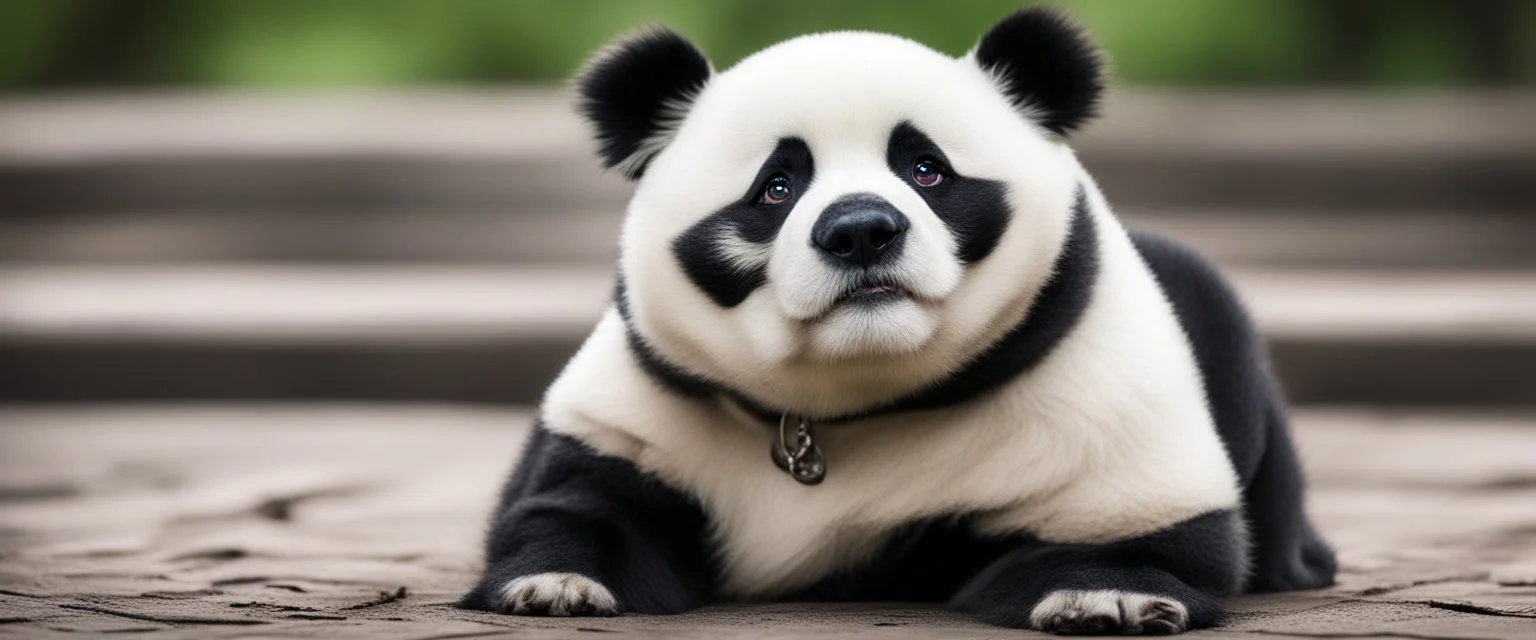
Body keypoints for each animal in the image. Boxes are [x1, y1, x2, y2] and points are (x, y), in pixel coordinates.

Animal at [460, 6, 1336, 634]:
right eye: (776, 186)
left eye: (926, 168)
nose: (860, 231)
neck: (843, 407)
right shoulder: (652, 399)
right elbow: (578, 503)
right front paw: (557, 583)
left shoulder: (1087, 381)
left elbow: (1143, 519)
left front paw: (1103, 599)